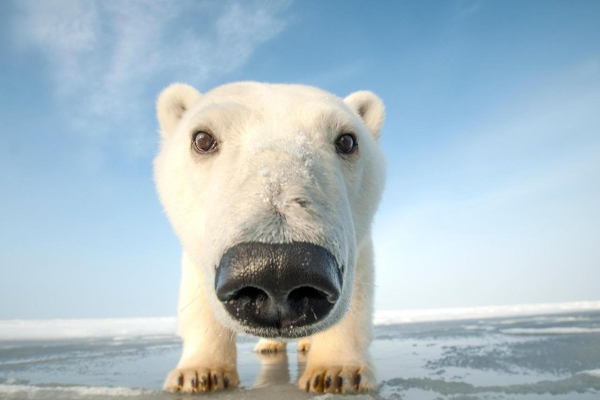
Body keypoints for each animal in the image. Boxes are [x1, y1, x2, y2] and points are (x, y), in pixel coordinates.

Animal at [154, 82, 384, 394]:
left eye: (347, 141)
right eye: (202, 139)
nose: (277, 269)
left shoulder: (358, 245)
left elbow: (356, 294)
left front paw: (338, 372)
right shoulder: (197, 247)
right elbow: (197, 296)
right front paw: (199, 373)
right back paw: (268, 346)